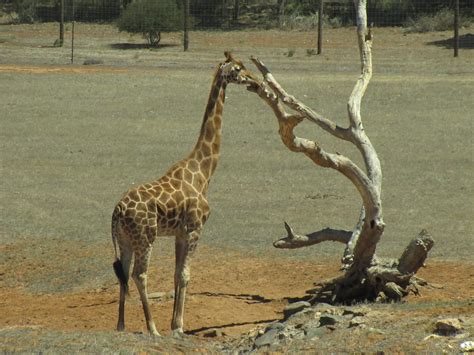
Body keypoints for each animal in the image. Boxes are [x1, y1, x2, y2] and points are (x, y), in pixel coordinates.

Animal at [110, 52, 258, 336]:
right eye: (238, 69)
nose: (254, 81)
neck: (202, 173)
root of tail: (117, 211)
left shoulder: (179, 233)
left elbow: (176, 274)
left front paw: (174, 323)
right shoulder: (194, 228)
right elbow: (186, 275)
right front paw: (178, 326)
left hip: (124, 240)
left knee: (122, 273)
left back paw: (121, 326)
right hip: (145, 237)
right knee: (139, 275)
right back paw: (152, 328)